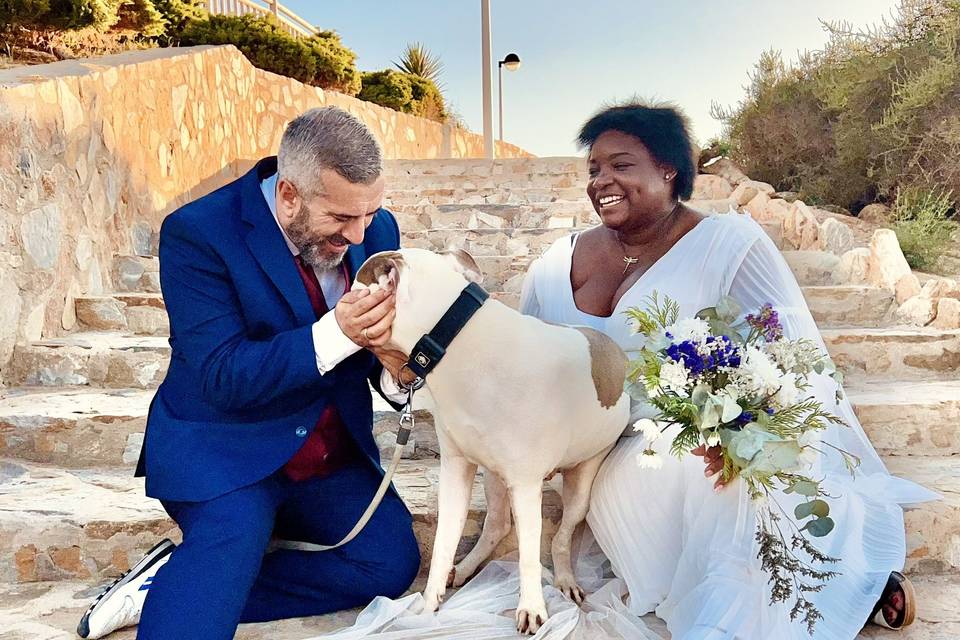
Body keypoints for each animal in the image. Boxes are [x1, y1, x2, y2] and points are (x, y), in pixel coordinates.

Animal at [352, 248, 632, 632]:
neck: (456, 340)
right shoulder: (456, 470)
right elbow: (443, 543)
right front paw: (427, 609)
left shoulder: (526, 485)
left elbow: (529, 553)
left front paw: (532, 608)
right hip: (494, 477)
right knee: (497, 525)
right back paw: (465, 569)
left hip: (584, 478)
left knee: (561, 536)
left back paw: (564, 579)